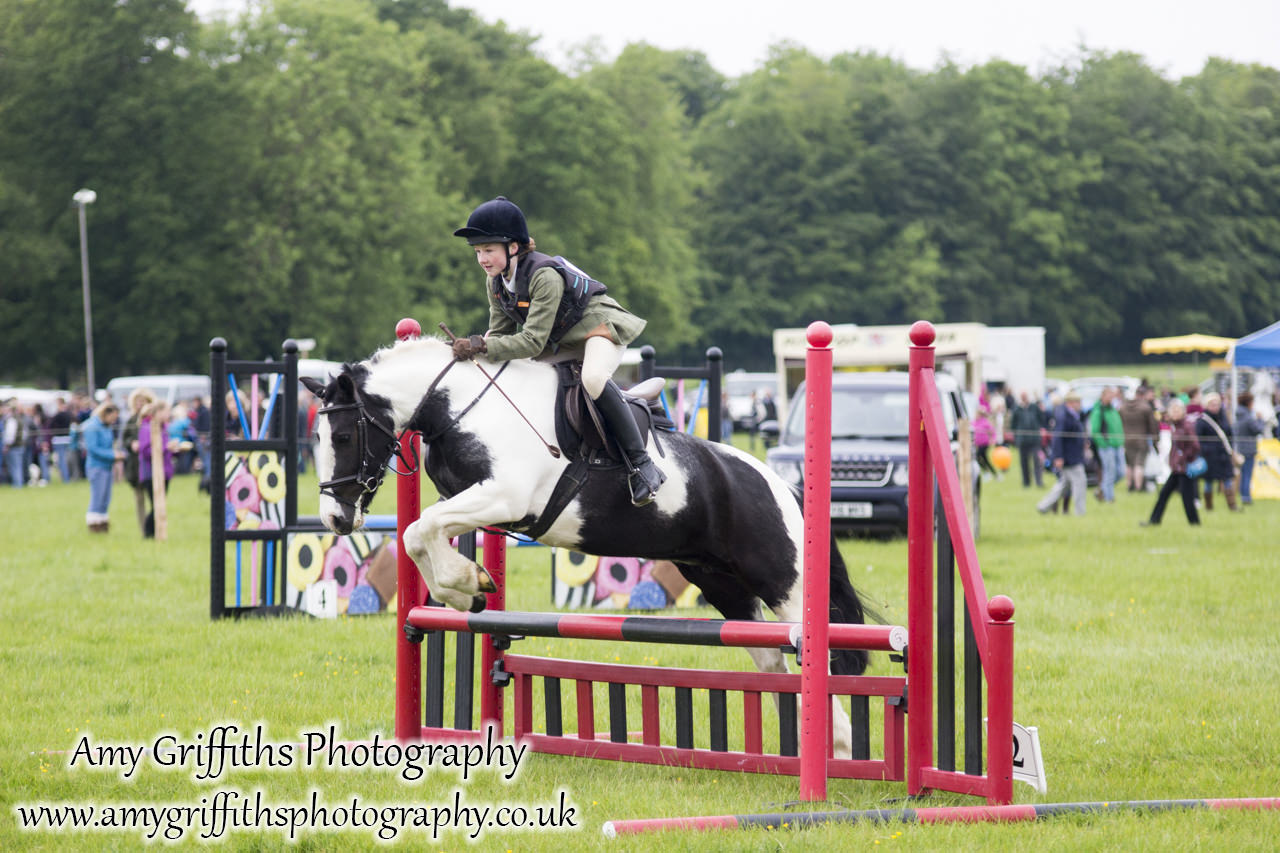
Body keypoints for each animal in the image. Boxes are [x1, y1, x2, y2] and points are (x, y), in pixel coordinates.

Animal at [305, 333, 875, 742]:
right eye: (317, 436)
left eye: (343, 435)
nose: (335, 518)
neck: (458, 407)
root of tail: (782, 485)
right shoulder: (478, 504)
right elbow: (419, 535)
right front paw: (468, 587)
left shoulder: (505, 497)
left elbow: (419, 529)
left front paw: (466, 584)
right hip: (721, 584)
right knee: (770, 659)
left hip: (782, 581)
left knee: (814, 649)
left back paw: (839, 747)